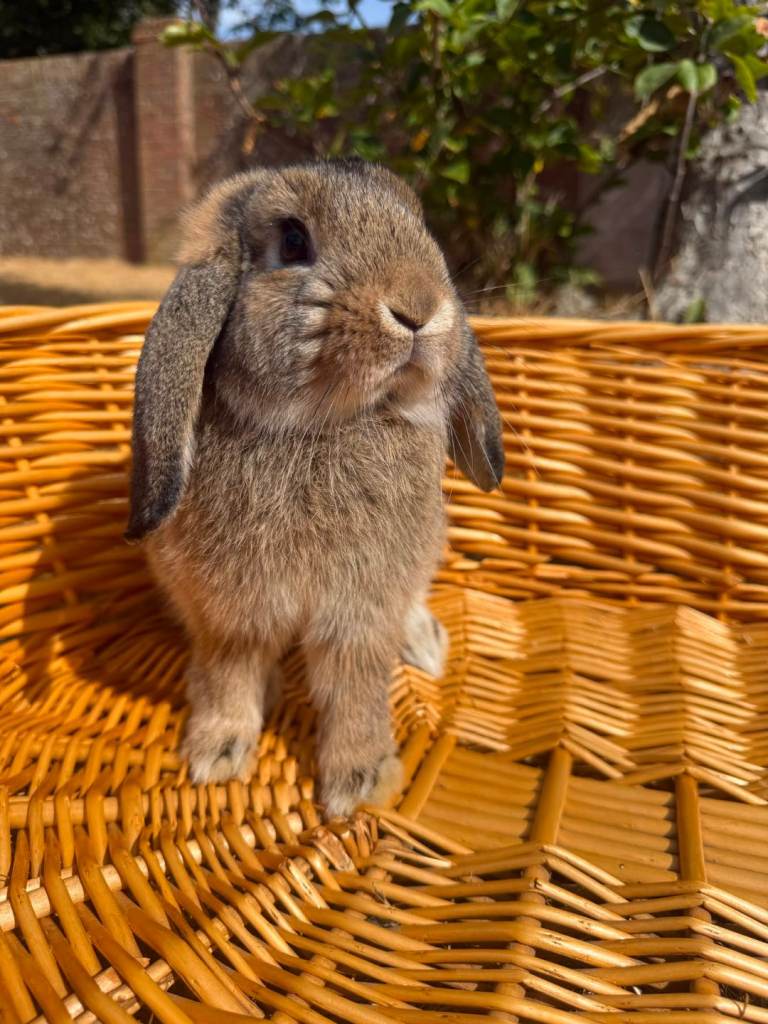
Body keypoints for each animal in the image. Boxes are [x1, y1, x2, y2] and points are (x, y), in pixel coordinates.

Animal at [126, 159, 503, 817]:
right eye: (293, 241)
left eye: (419, 224)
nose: (419, 307)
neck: (325, 424)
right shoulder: (232, 613)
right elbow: (230, 673)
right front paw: (215, 754)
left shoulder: (360, 611)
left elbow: (356, 688)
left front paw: (362, 780)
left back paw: (426, 644)